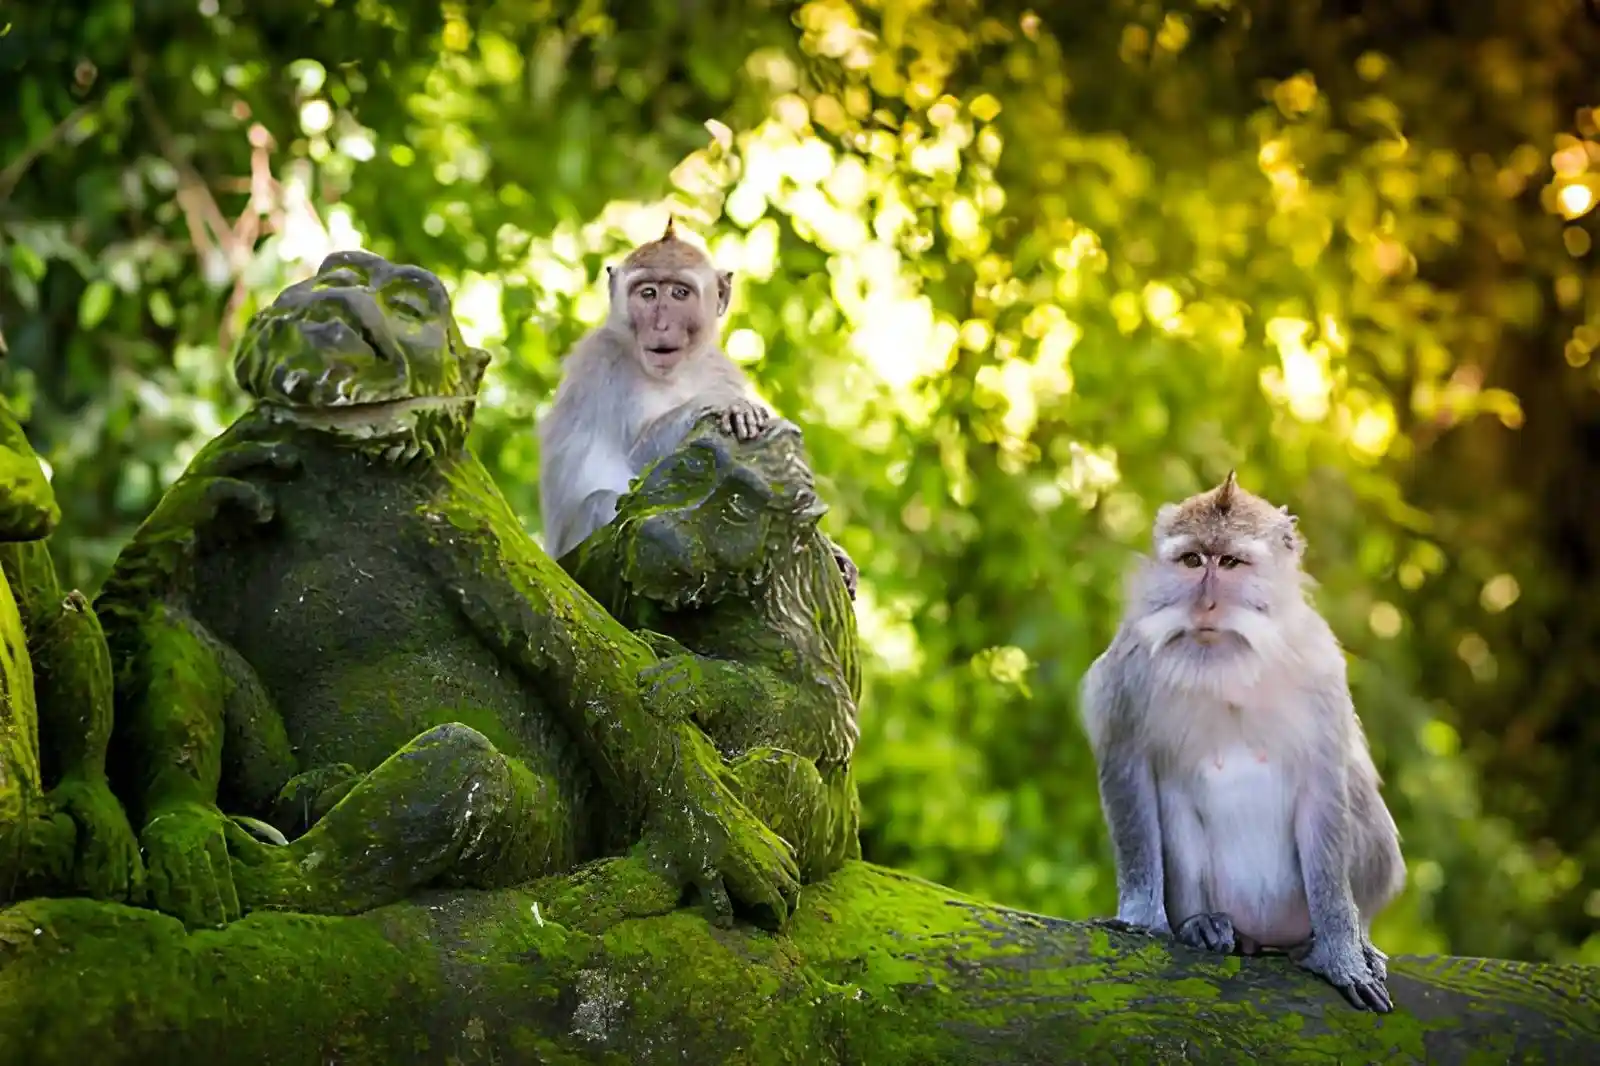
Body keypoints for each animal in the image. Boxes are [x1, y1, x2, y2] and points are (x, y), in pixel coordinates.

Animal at [537, 218, 860, 596]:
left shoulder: (720, 368)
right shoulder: (603, 363)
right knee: (601, 500)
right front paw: (726, 405)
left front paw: (835, 551)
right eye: (648, 293)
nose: (660, 324)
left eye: (679, 293)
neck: (674, 372)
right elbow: (641, 461)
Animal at [1078, 471, 1405, 1013]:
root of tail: (1262, 935)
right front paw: (1143, 917)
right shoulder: (1129, 672)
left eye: (1230, 562)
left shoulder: (1321, 669)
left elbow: (1325, 788)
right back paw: (1202, 925)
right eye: (1193, 561)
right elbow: (1129, 769)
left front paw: (1342, 954)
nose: (1205, 604)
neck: (1227, 662)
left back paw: (1341, 941)